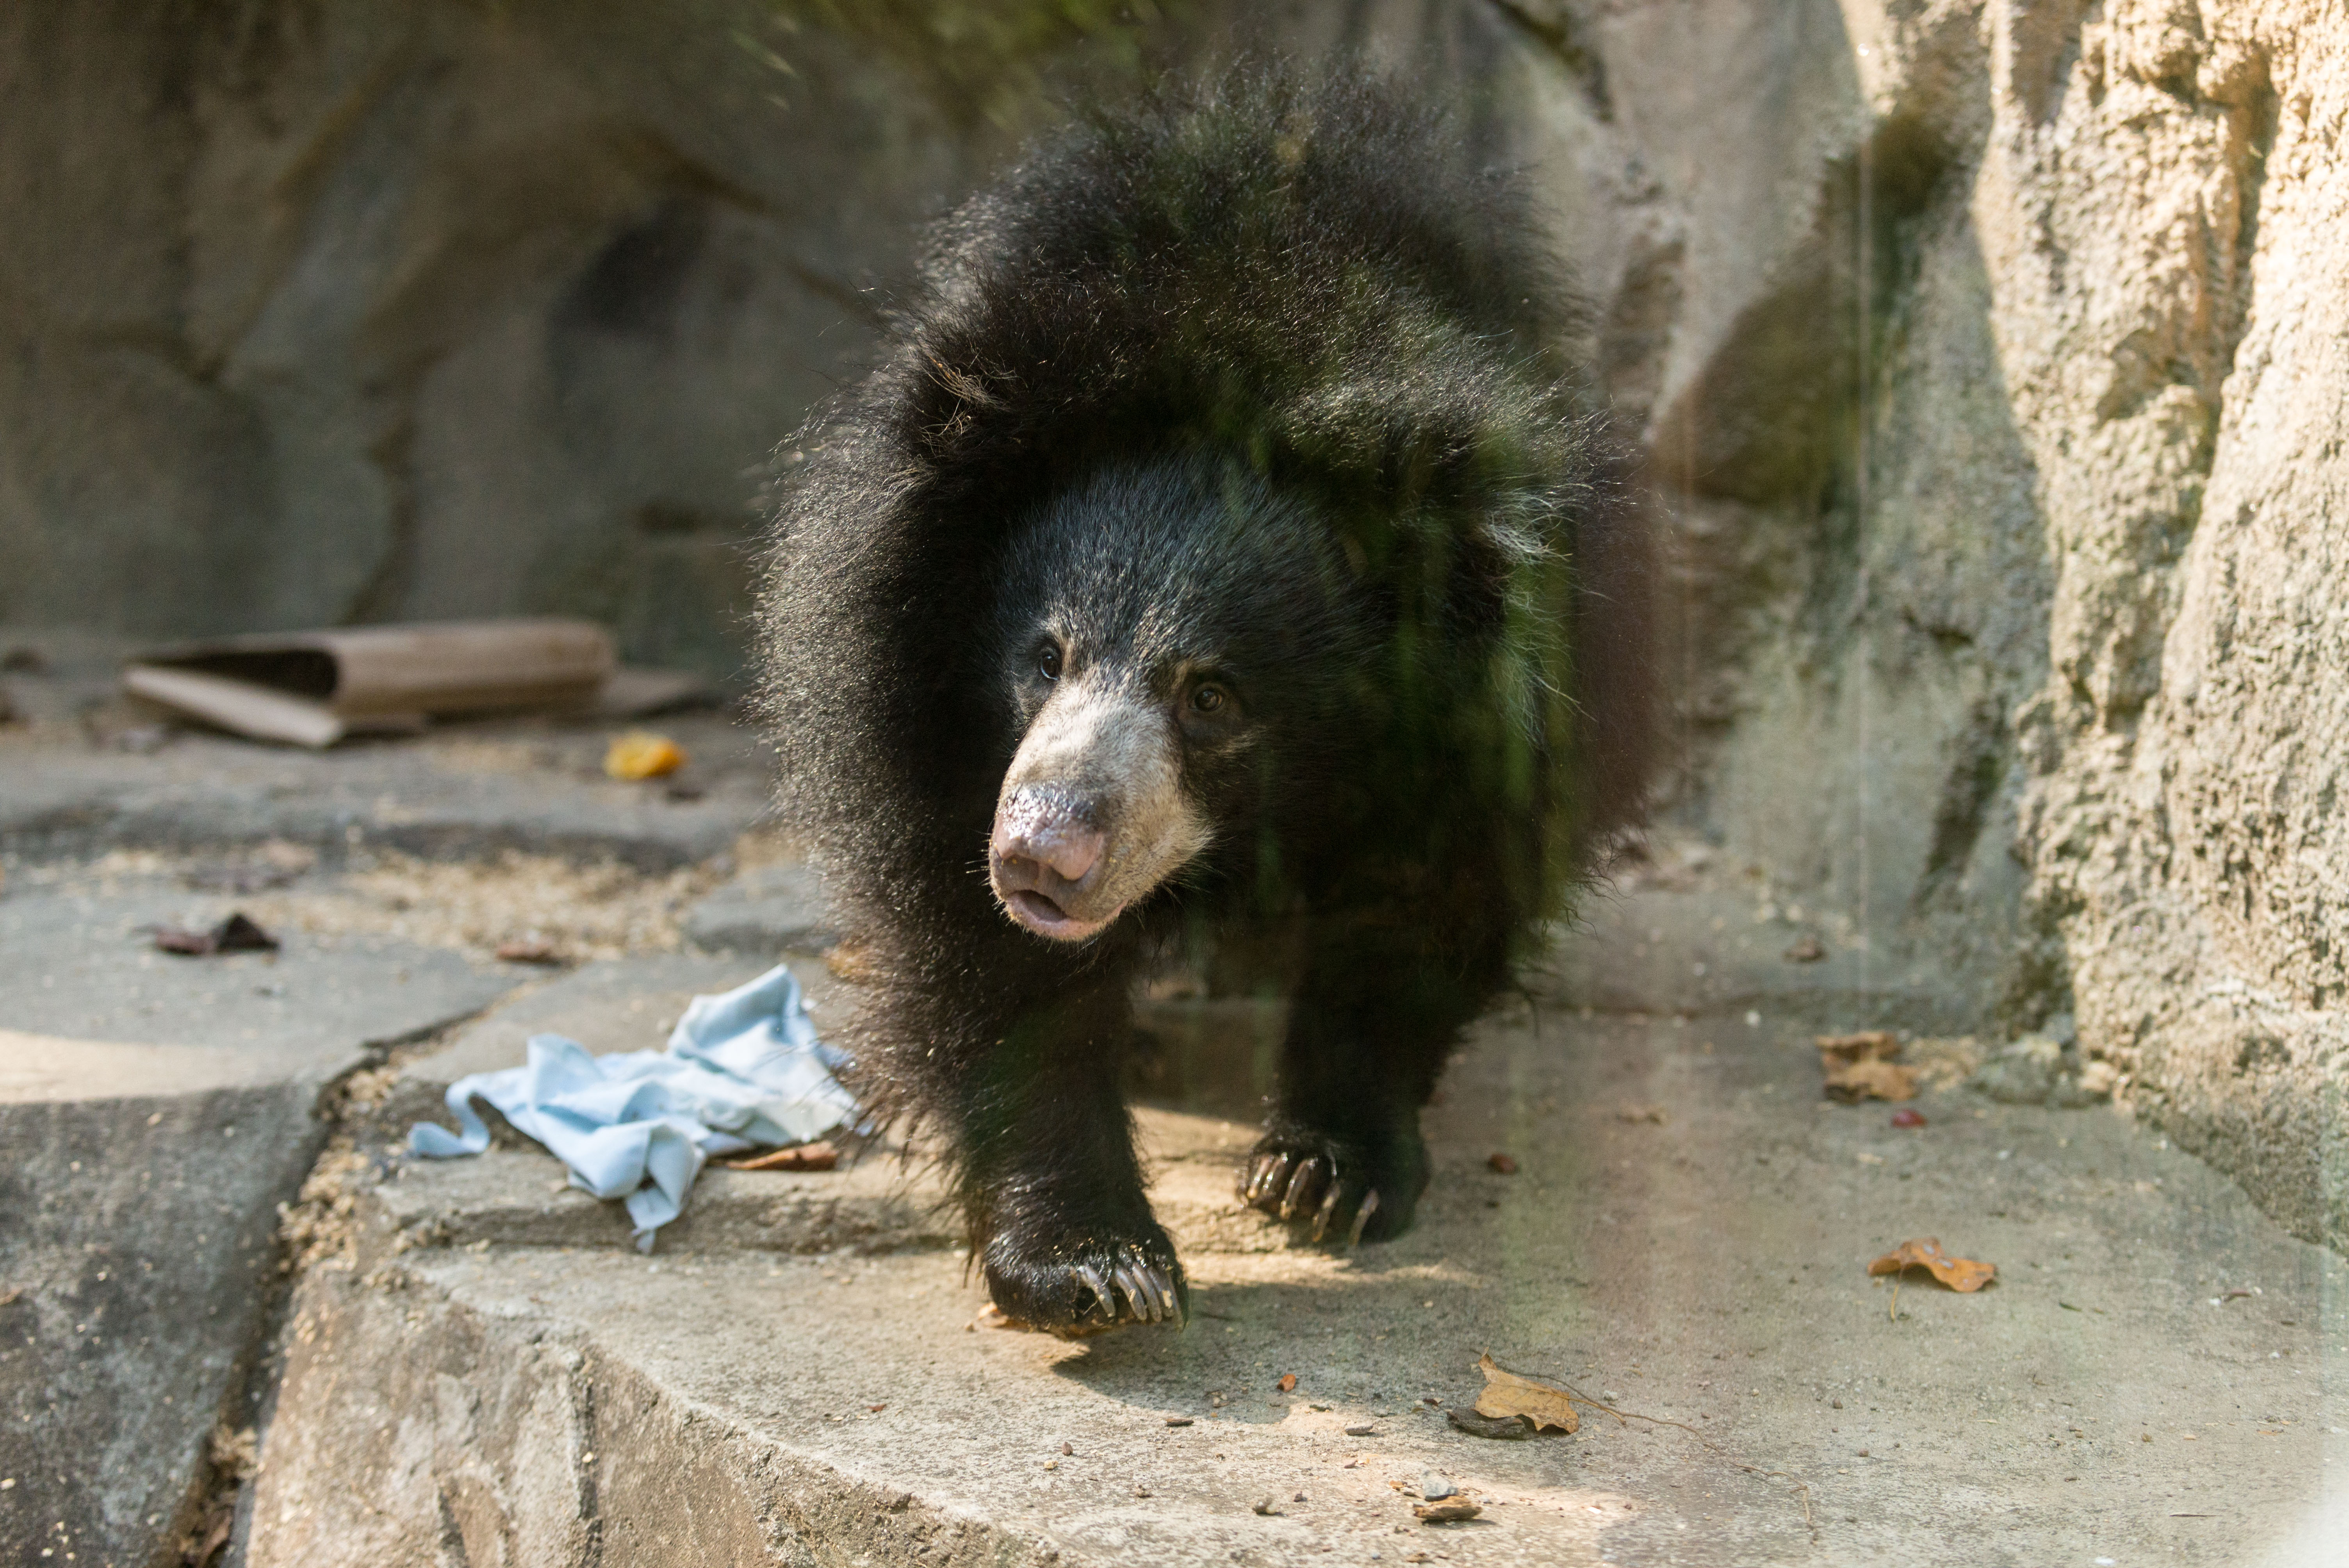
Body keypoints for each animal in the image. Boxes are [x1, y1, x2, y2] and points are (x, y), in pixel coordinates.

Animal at [766, 70, 1654, 1324]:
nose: (1041, 856)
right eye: (1045, 657)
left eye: (1215, 697)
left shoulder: (1509, 713)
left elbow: (1424, 909)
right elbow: (981, 951)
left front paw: (1327, 1173)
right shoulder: (909, 685)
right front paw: (1093, 1261)